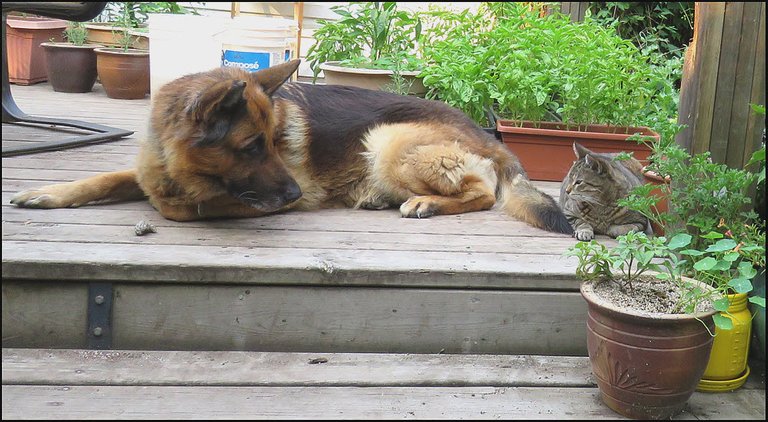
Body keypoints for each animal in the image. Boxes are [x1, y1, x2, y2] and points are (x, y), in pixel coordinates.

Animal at [12, 60, 572, 234]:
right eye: (250, 146)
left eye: (271, 144)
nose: (295, 196)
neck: (178, 163)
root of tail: (488, 135)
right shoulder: (149, 171)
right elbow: (108, 178)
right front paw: (48, 193)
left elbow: (181, 206)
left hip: (388, 140)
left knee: (481, 191)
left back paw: (426, 203)